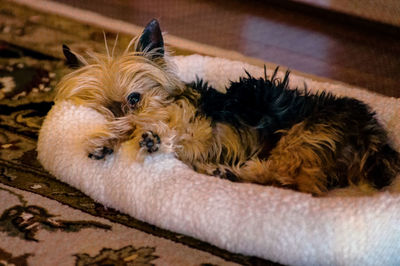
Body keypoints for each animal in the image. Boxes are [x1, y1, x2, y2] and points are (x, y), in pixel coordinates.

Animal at [56, 18, 400, 193]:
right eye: (104, 106)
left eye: (134, 98)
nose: (119, 114)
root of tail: (375, 142)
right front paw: (108, 140)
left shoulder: (193, 126)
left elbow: (155, 127)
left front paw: (143, 135)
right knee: (297, 182)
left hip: (304, 135)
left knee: (295, 180)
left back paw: (231, 171)